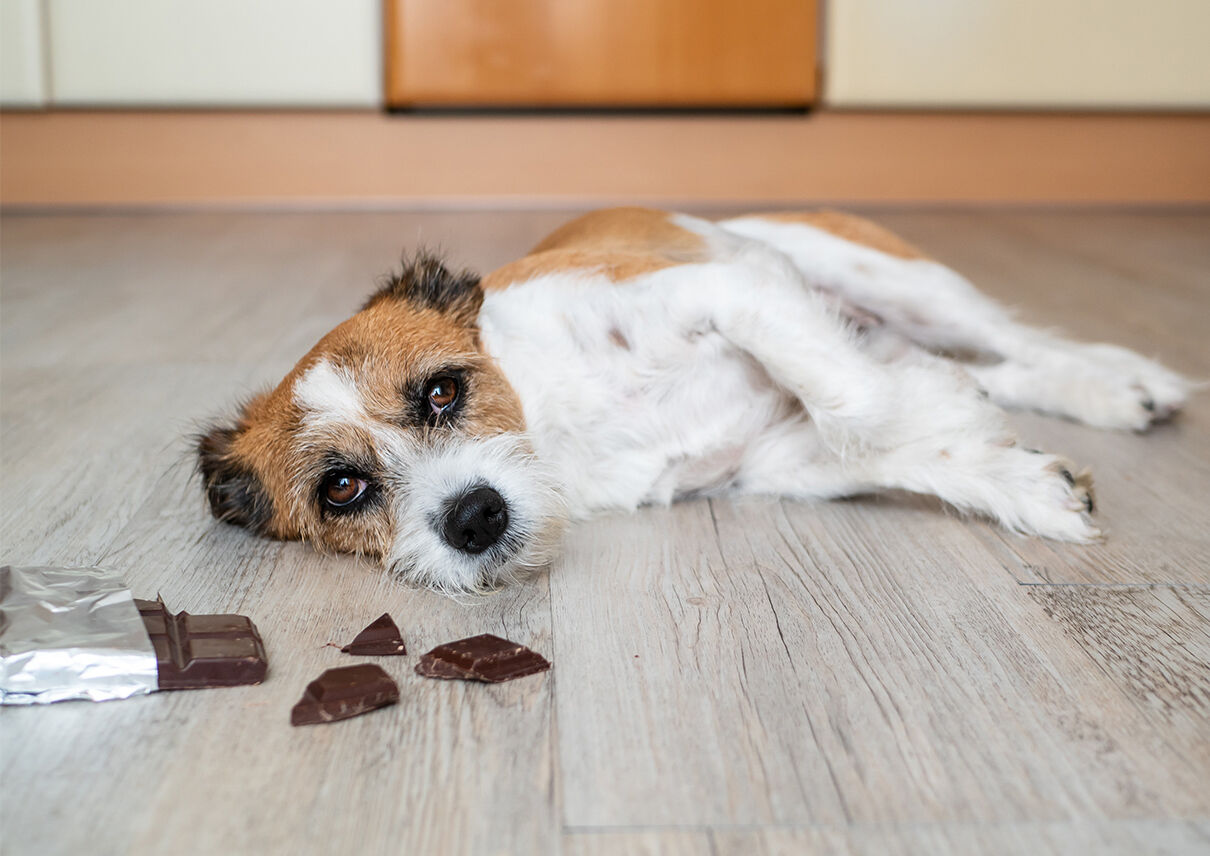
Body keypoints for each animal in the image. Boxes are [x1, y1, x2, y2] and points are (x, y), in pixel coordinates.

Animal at [196, 210, 1190, 593]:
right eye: (342, 490)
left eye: (443, 391)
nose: (473, 517)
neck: (556, 420)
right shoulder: (773, 460)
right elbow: (877, 439)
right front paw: (1015, 478)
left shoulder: (730, 290)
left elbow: (857, 402)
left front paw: (941, 413)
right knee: (994, 363)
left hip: (892, 278)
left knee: (1015, 341)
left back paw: (1125, 382)